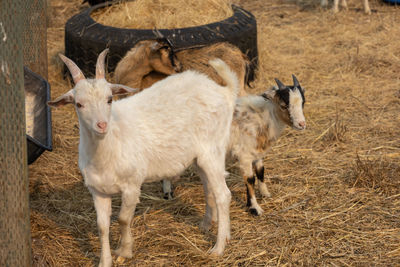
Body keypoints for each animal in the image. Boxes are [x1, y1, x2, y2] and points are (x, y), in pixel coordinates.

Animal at [48, 49, 239, 266]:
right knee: (210, 189)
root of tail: (224, 92)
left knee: (224, 194)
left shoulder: (132, 185)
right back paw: (209, 224)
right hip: (200, 157)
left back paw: (218, 247)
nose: (102, 125)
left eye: (109, 99)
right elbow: (102, 226)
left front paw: (124, 251)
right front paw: (105, 261)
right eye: (79, 104)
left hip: (212, 150)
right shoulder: (97, 190)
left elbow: (123, 218)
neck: (109, 146)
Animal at [162, 75, 306, 216]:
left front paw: (265, 193)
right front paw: (254, 208)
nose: (301, 124)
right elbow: (250, 179)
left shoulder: (257, 152)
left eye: (302, 103)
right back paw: (167, 193)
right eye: (284, 105)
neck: (261, 117)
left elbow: (260, 172)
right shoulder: (244, 155)